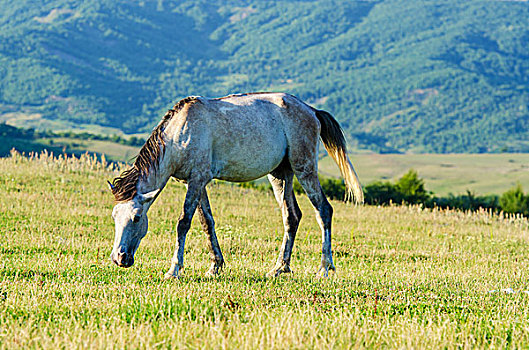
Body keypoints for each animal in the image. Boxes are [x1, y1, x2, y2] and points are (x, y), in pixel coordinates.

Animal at [107, 91, 364, 278]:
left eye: (137, 218)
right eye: (114, 217)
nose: (119, 258)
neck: (180, 133)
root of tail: (312, 110)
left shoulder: (197, 180)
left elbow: (183, 223)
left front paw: (174, 269)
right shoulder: (197, 183)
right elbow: (206, 222)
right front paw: (215, 266)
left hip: (305, 168)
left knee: (324, 211)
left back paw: (324, 268)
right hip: (281, 174)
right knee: (292, 217)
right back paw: (280, 268)